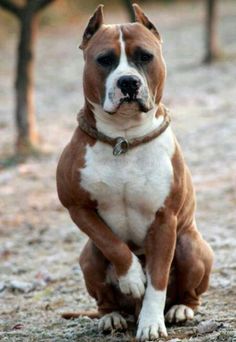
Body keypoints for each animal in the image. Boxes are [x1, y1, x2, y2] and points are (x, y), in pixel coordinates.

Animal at [56, 4, 214, 340]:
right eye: (104, 59)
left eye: (145, 56)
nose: (128, 82)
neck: (123, 139)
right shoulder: (78, 207)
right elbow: (112, 243)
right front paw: (131, 277)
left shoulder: (165, 220)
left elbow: (157, 281)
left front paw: (152, 323)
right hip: (88, 258)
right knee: (105, 297)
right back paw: (113, 317)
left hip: (190, 245)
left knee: (189, 293)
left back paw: (180, 310)